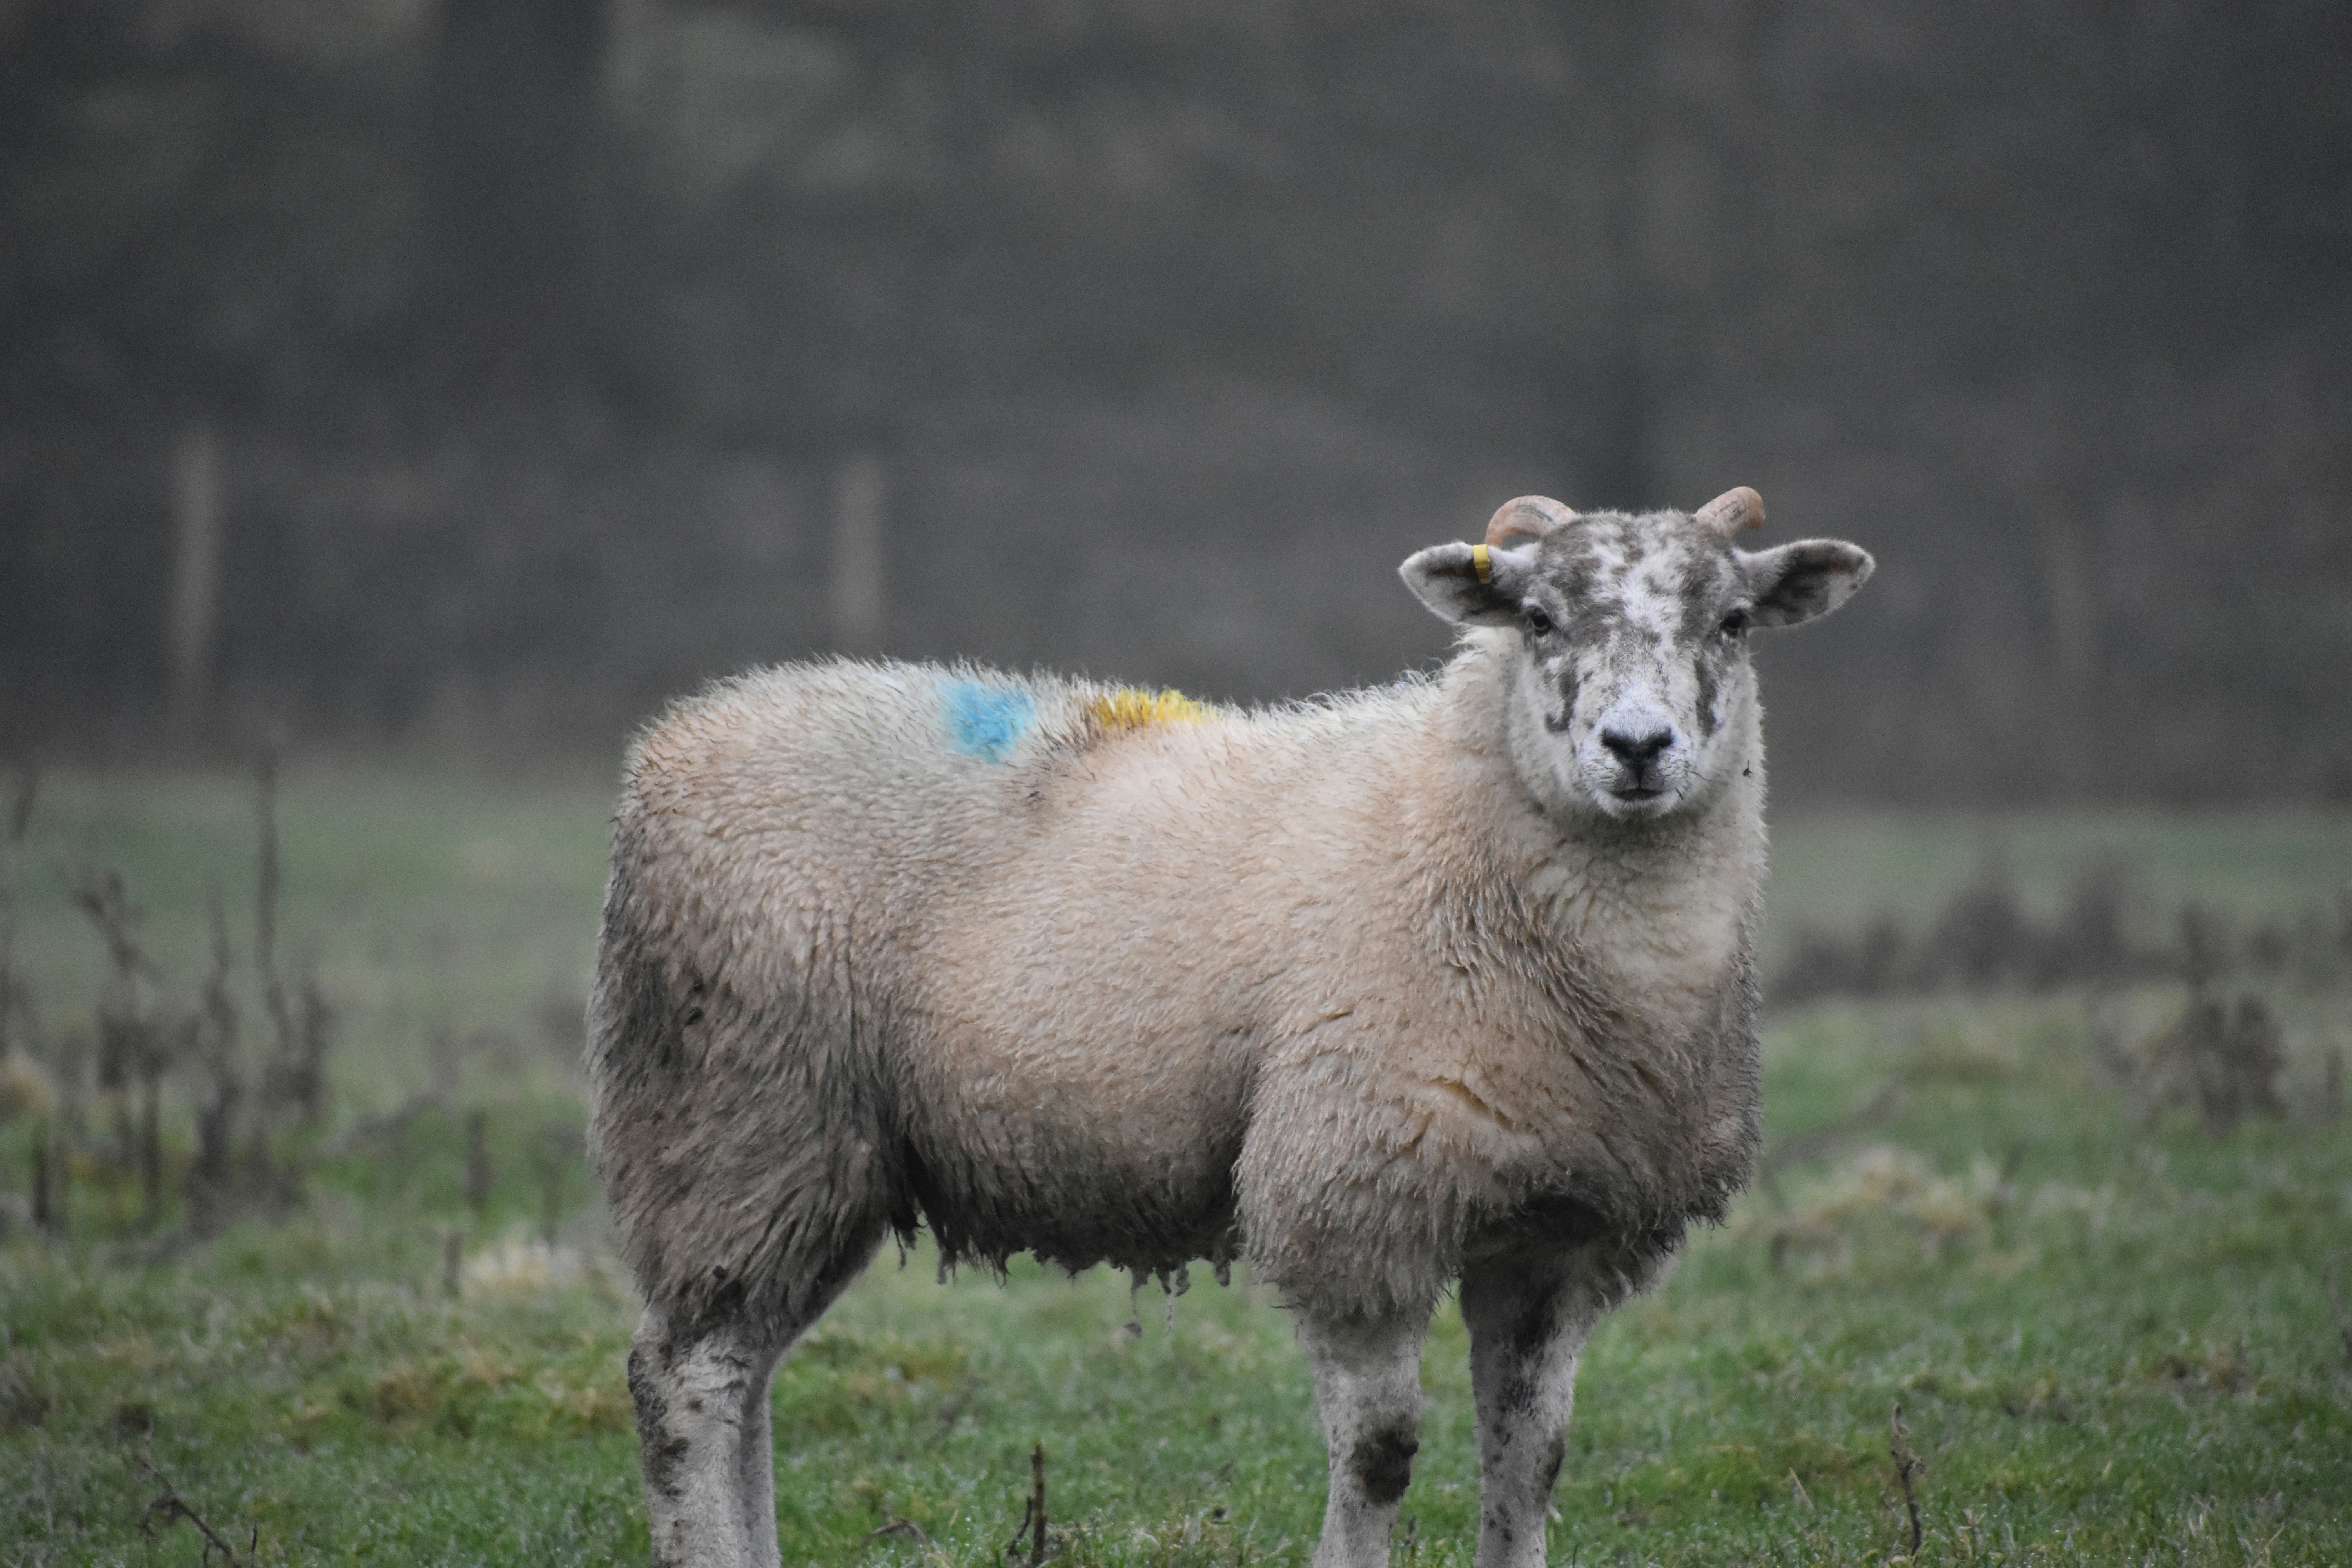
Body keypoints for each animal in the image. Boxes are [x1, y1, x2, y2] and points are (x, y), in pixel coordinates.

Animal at [588, 487, 1873, 1568]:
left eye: (1734, 621)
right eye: (1539, 617)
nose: (1638, 748)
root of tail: (677, 742)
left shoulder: (1556, 1230)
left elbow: (1531, 1461)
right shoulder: (1352, 1194)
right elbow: (1381, 1453)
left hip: (814, 1157)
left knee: (745, 1376)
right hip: (740, 1116)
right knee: (685, 1381)